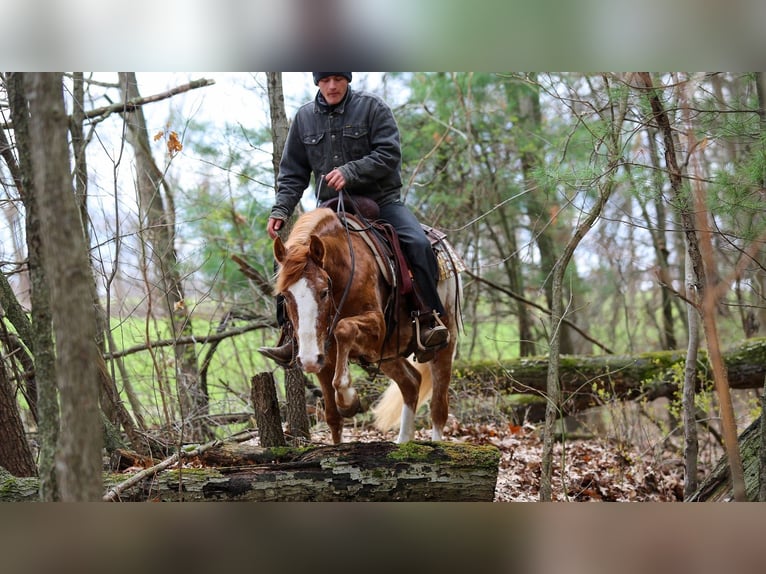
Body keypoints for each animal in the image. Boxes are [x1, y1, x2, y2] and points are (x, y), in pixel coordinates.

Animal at [273, 206, 462, 444]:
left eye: (324, 292)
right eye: (285, 296)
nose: (307, 360)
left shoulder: (377, 327)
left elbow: (343, 329)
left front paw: (348, 398)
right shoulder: (322, 355)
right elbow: (333, 417)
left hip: (446, 338)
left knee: (438, 406)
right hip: (387, 353)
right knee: (411, 383)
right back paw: (403, 442)